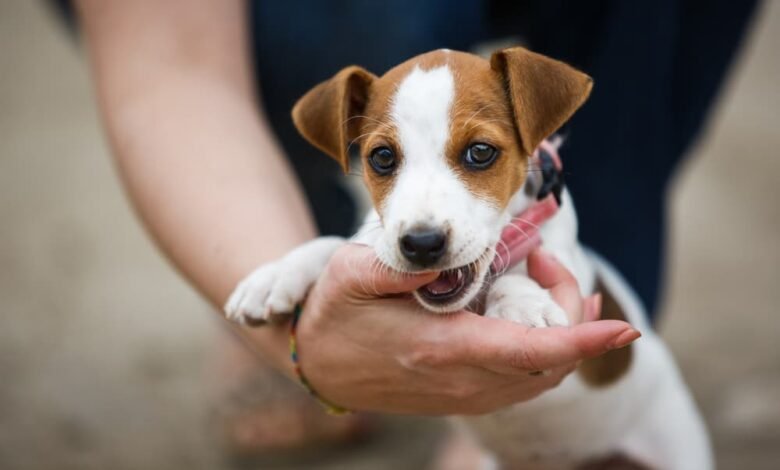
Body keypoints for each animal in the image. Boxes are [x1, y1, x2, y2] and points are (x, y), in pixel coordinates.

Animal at [224, 47, 712, 470]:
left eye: (480, 152)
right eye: (381, 157)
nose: (422, 244)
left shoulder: (567, 266)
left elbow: (517, 273)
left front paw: (523, 307)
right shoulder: (374, 245)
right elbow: (333, 244)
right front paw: (275, 275)